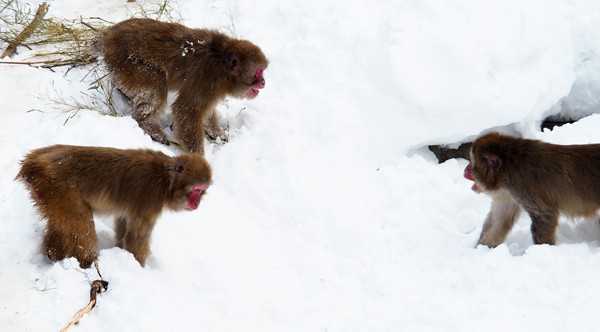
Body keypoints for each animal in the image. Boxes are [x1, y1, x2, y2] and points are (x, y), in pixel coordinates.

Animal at [16, 145, 212, 268]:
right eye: (196, 189)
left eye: (202, 191)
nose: (196, 204)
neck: (166, 180)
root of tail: (33, 163)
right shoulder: (151, 200)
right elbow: (136, 237)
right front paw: (138, 267)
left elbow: (123, 225)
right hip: (58, 189)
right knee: (82, 228)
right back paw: (88, 264)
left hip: (48, 194)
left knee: (61, 224)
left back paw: (53, 254)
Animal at [92, 19, 270, 156]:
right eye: (259, 71)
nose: (263, 82)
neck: (223, 64)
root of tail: (107, 35)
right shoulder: (208, 79)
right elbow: (186, 110)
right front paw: (198, 158)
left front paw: (216, 133)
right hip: (125, 61)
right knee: (157, 82)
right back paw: (146, 124)